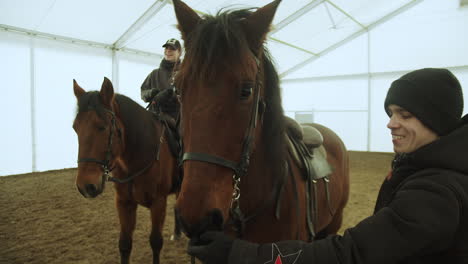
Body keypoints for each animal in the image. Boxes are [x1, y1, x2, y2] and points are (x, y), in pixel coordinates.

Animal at [73, 77, 181, 264]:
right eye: (75, 128)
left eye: (102, 127)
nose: (85, 186)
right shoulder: (124, 203)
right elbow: (124, 244)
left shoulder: (158, 203)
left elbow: (155, 242)